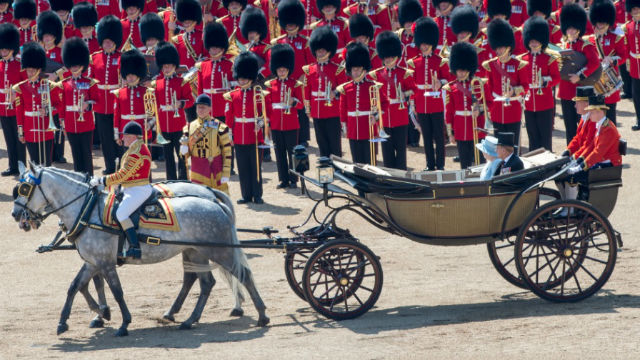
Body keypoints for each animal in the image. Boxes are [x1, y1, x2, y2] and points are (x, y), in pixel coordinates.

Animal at [12, 165, 268, 336]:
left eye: (25, 188)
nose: (16, 216)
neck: (87, 209)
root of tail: (213, 199)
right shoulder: (93, 261)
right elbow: (75, 286)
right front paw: (70, 320)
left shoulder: (105, 262)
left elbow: (115, 291)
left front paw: (121, 321)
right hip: (195, 252)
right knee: (204, 282)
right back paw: (186, 319)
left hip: (220, 252)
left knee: (243, 275)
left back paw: (262, 315)